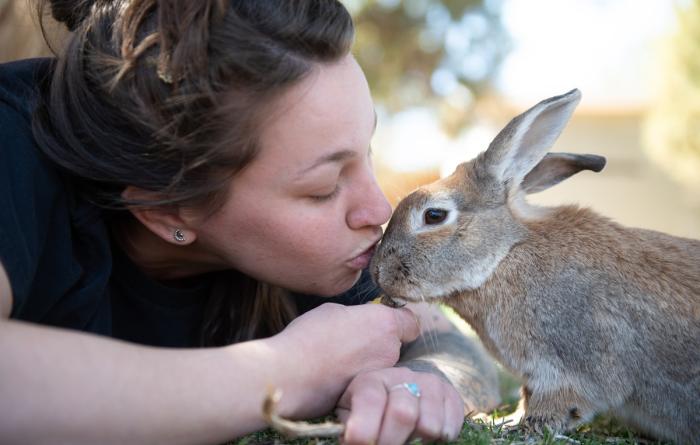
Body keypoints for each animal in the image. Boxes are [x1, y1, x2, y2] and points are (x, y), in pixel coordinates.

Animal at [370, 89, 700, 444]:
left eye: (434, 215)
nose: (377, 271)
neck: (505, 256)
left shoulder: (569, 369)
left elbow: (558, 405)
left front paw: (514, 428)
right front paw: (500, 420)